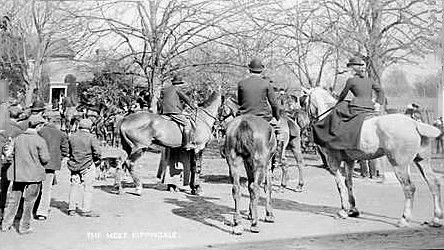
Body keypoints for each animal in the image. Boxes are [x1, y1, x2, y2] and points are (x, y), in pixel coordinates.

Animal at [306, 87, 444, 228]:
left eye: (303, 100)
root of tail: (414, 123)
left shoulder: (333, 161)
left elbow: (340, 186)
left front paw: (343, 211)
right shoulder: (349, 161)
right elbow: (348, 183)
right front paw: (353, 210)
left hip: (399, 165)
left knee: (409, 188)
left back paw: (404, 219)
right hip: (422, 162)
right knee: (434, 184)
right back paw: (436, 219)